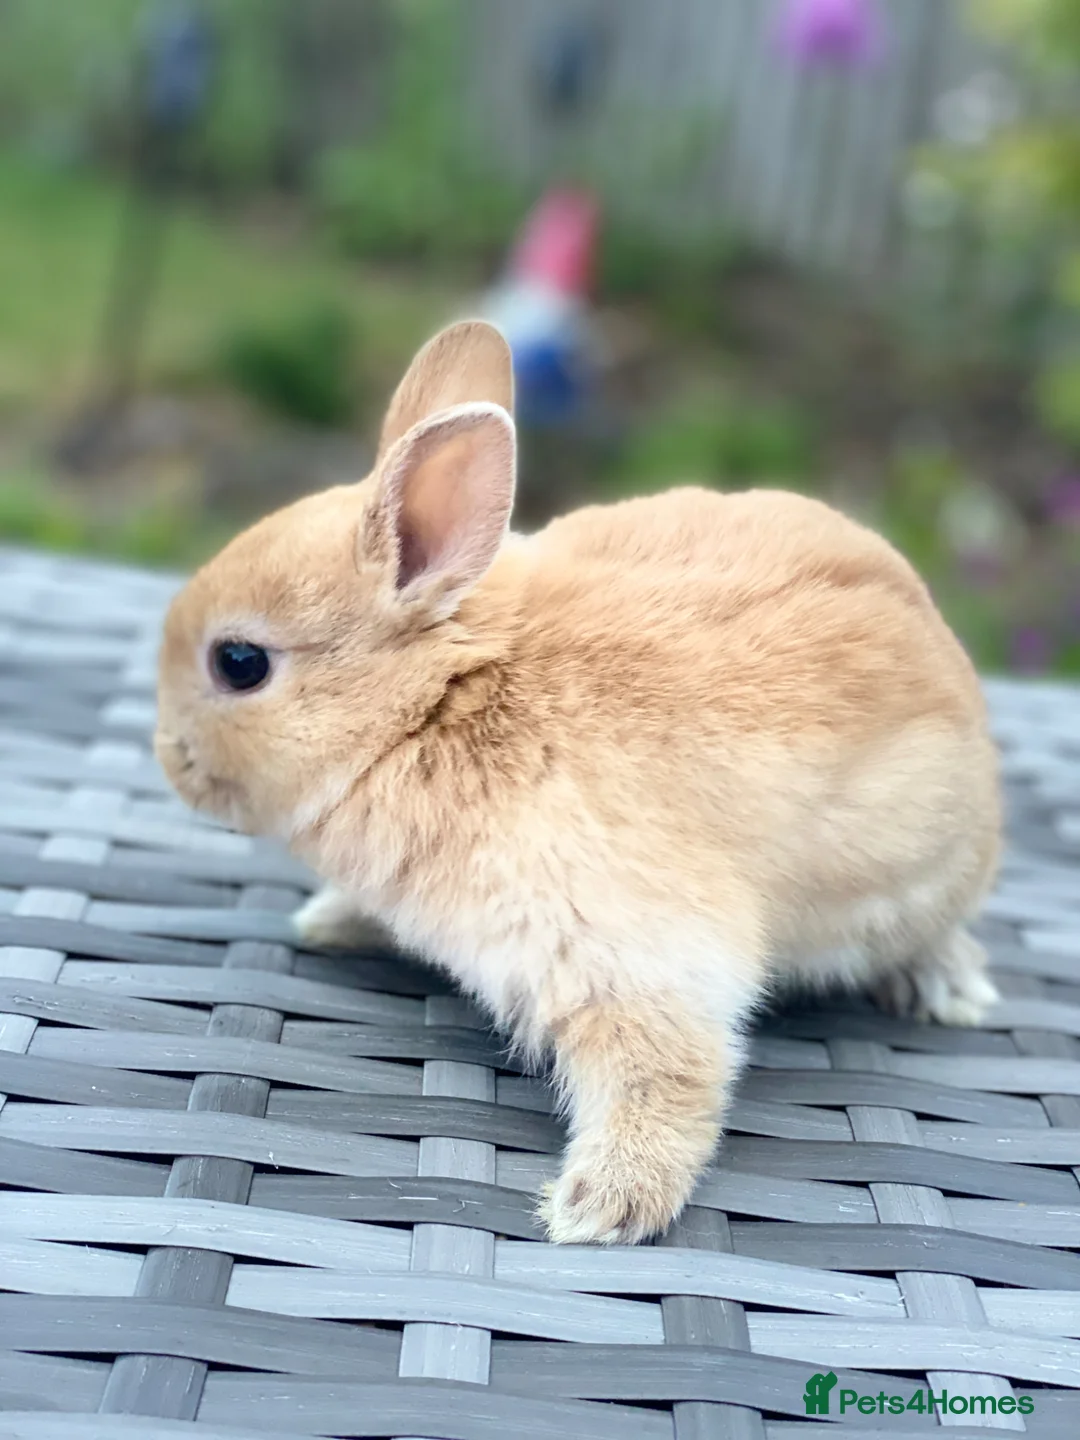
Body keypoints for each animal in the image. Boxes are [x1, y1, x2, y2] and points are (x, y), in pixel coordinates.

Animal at [155, 318, 1002, 1246]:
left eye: (239, 663)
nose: (169, 757)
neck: (434, 706)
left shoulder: (632, 950)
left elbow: (666, 1078)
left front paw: (600, 1209)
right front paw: (327, 918)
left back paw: (951, 990)